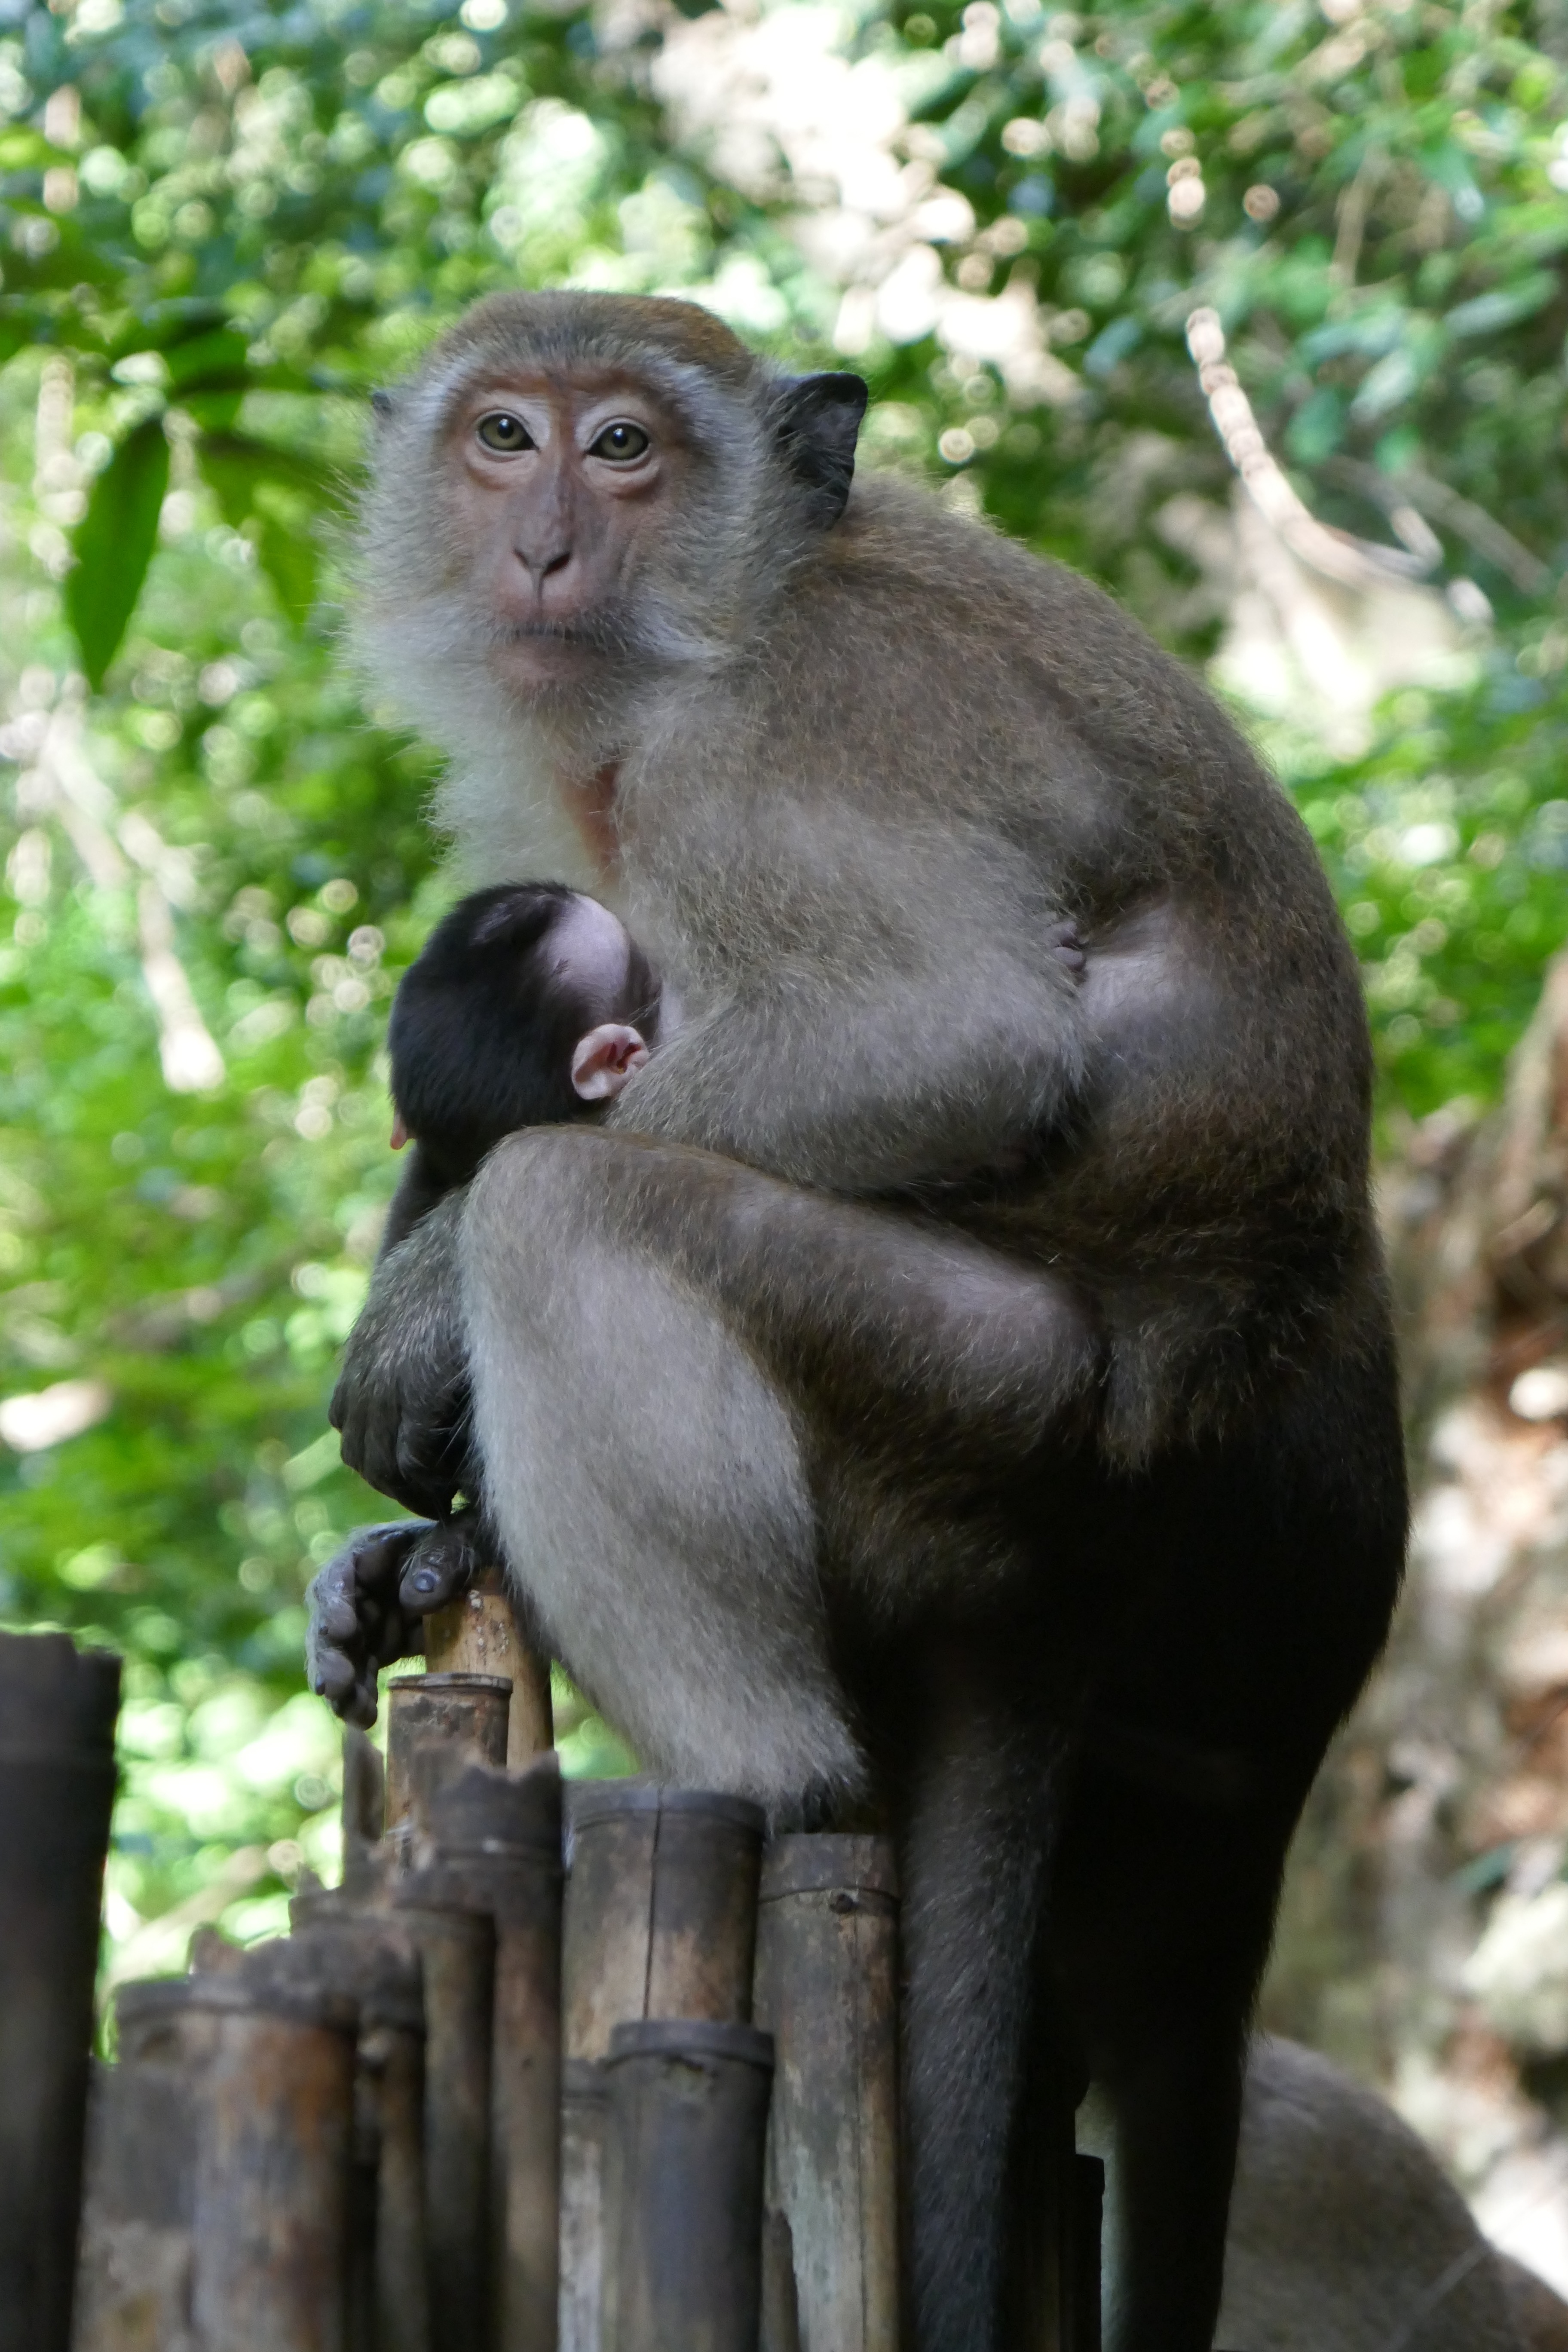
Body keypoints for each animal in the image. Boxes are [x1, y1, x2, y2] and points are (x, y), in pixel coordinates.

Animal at [316, 291, 1407, 2352]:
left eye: (626, 448)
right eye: (504, 434)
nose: (544, 544)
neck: (742, 606)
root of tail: (1103, 1547)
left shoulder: (760, 763)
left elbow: (953, 1039)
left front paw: (413, 1312)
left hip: (999, 1401)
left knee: (569, 1211)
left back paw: (754, 1794)